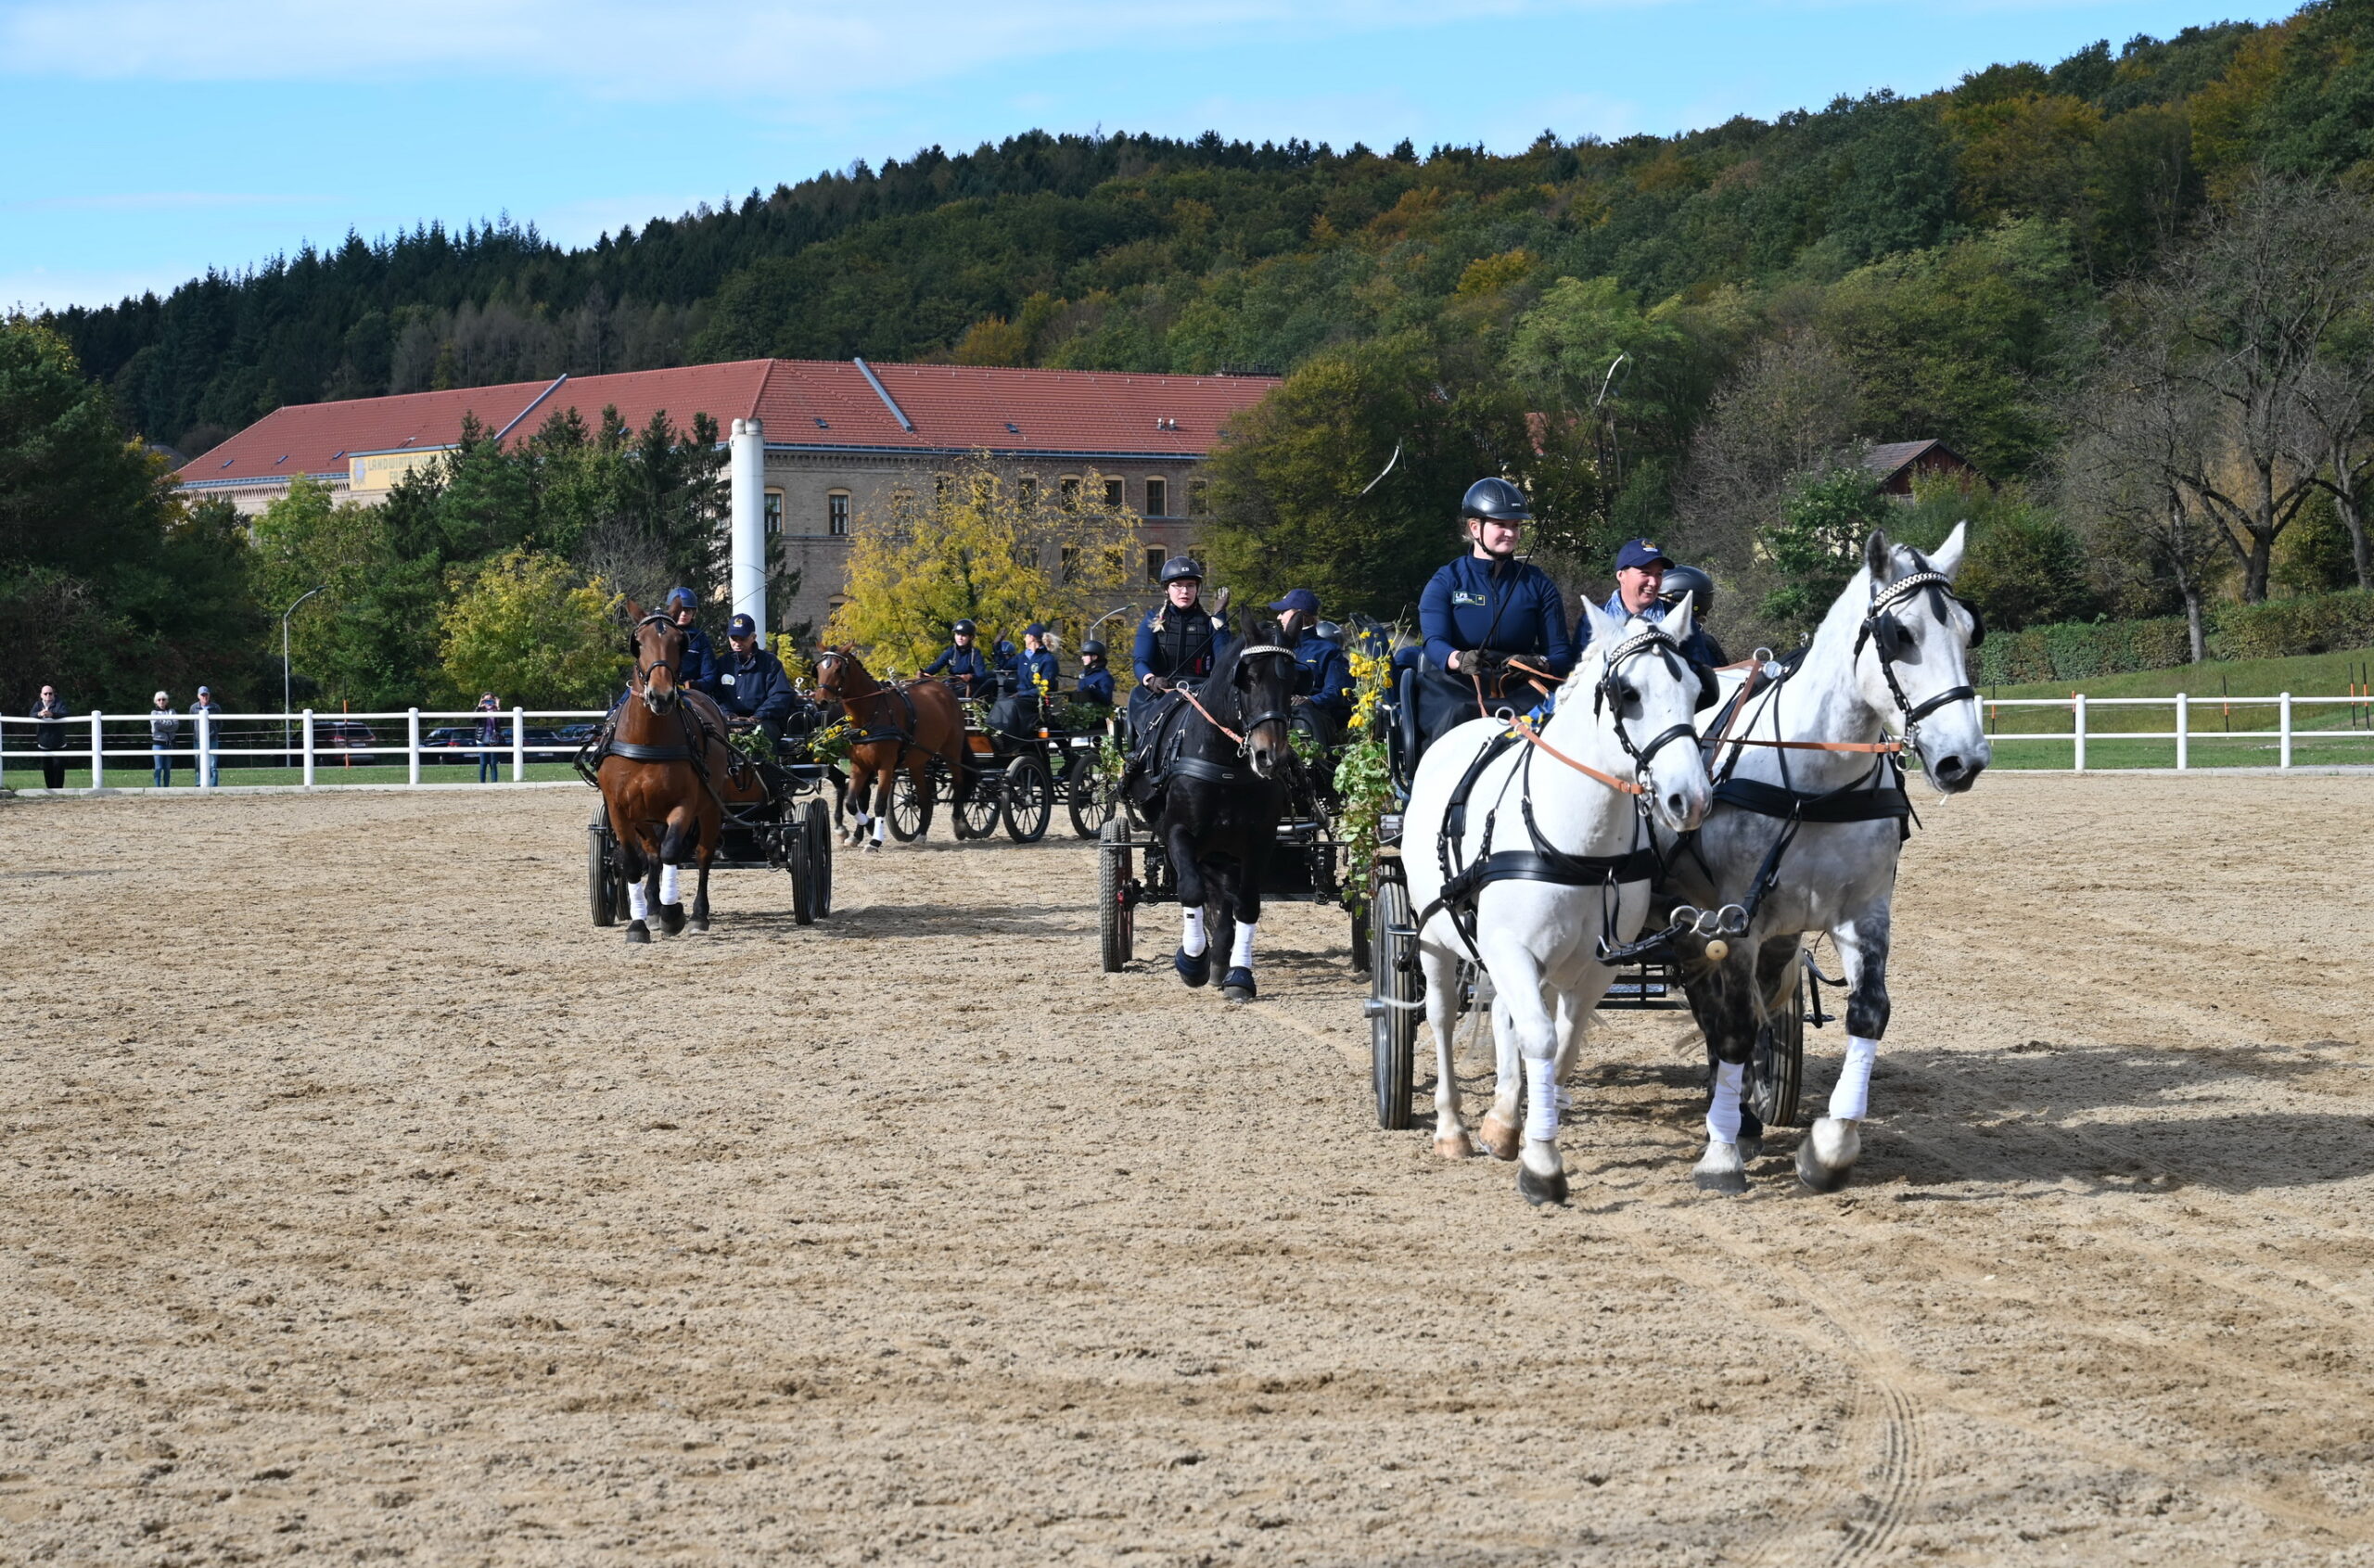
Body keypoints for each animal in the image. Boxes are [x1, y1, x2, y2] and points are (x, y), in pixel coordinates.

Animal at [598, 605, 764, 934]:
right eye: (638, 642)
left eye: (679, 642)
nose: (661, 696)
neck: (647, 741)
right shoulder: (619, 808)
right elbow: (632, 861)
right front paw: (639, 923)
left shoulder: (685, 804)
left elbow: (672, 851)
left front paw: (672, 913)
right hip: (646, 815)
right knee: (652, 853)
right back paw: (651, 905)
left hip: (710, 808)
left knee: (702, 854)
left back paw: (698, 914)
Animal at [816, 644, 964, 848]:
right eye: (818, 668)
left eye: (839, 669)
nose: (821, 701)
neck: (870, 715)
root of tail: (946, 690)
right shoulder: (860, 766)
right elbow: (852, 803)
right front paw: (865, 827)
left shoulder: (885, 766)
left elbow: (878, 804)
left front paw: (875, 839)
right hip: (917, 761)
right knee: (925, 798)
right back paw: (921, 834)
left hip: (952, 752)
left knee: (958, 783)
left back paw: (959, 823)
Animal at [1396, 593, 1718, 1205]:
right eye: (1628, 694)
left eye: (1697, 690)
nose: (1688, 800)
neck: (1578, 847)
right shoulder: (1511, 950)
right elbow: (1540, 1040)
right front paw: (1542, 1166)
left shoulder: (1595, 964)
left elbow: (1562, 1043)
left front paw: (1517, 1128)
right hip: (1434, 939)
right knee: (1443, 1017)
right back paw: (1451, 1129)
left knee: (1507, 1016)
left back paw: (1501, 1115)